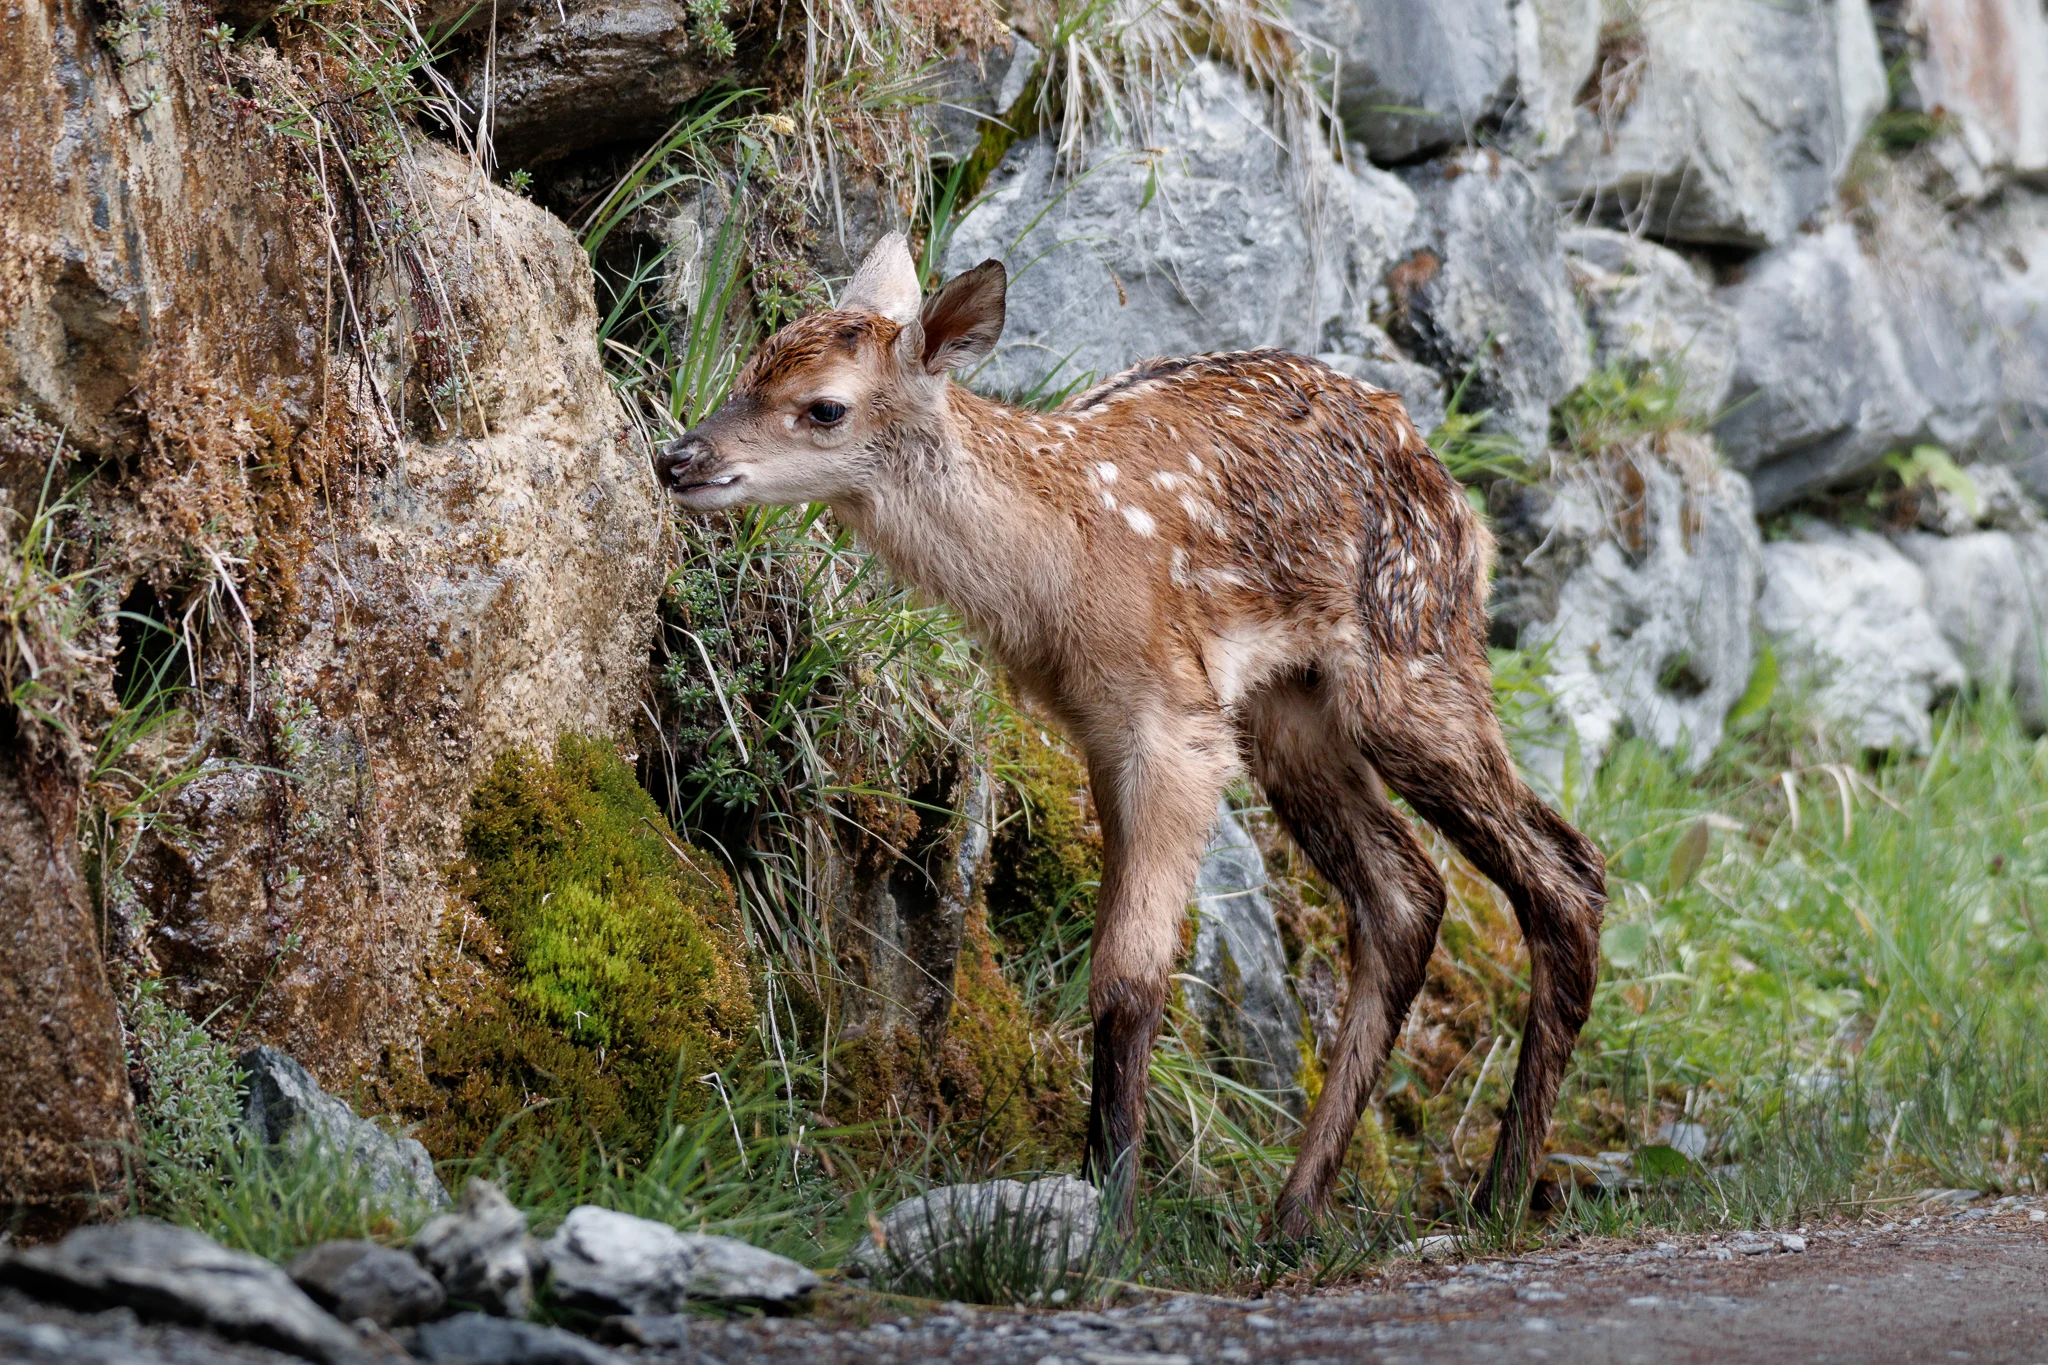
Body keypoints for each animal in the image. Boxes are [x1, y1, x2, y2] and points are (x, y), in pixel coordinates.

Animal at [655, 233, 1607, 1236]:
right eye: (753, 362)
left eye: (824, 406)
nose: (677, 458)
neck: (1060, 561)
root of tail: (1463, 506)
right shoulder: (1102, 729)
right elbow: (1115, 967)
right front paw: (1100, 1187)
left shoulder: (1173, 724)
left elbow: (1128, 978)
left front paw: (1111, 1215)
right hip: (1290, 712)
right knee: (1406, 891)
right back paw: (1294, 1213)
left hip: (1412, 658)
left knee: (1566, 871)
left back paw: (1498, 1192)